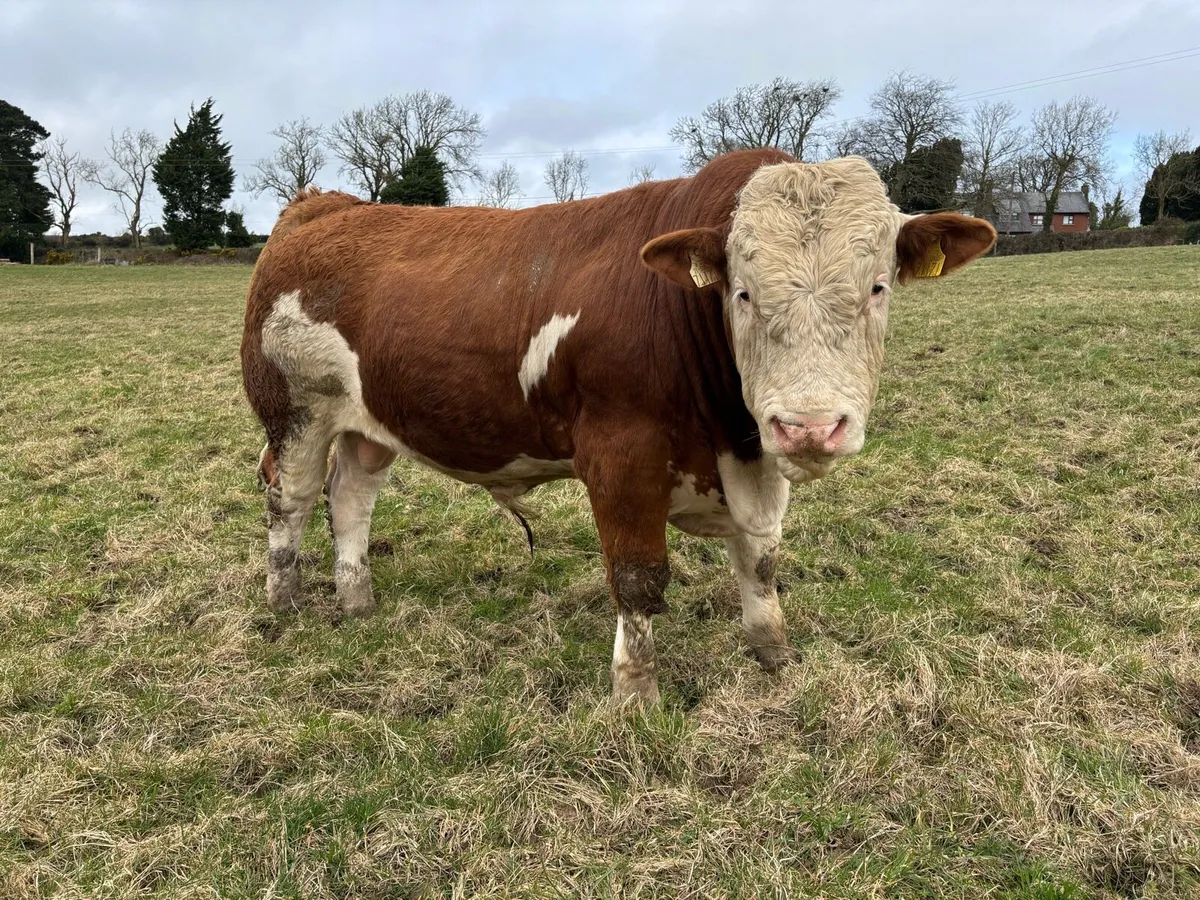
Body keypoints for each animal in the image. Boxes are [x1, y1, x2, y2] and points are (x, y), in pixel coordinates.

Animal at [241, 149, 996, 704]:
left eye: (878, 286)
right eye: (742, 293)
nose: (810, 427)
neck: (732, 438)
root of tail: (323, 207)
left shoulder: (754, 456)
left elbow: (760, 560)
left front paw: (774, 655)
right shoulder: (619, 454)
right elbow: (638, 578)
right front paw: (635, 697)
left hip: (369, 423)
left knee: (351, 497)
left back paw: (357, 600)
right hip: (295, 411)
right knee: (291, 497)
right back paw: (284, 601)